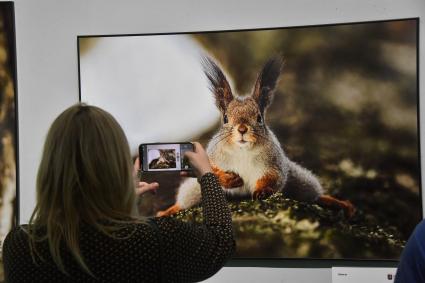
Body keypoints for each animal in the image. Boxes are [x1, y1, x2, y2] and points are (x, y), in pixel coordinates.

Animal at [157, 56, 354, 219]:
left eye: (259, 117)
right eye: (225, 118)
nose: (242, 129)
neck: (242, 150)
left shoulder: (273, 163)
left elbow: (274, 177)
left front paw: (262, 190)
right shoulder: (213, 157)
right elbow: (212, 170)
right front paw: (229, 179)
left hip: (298, 179)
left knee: (311, 193)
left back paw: (335, 202)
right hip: (194, 189)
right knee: (186, 198)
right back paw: (169, 210)